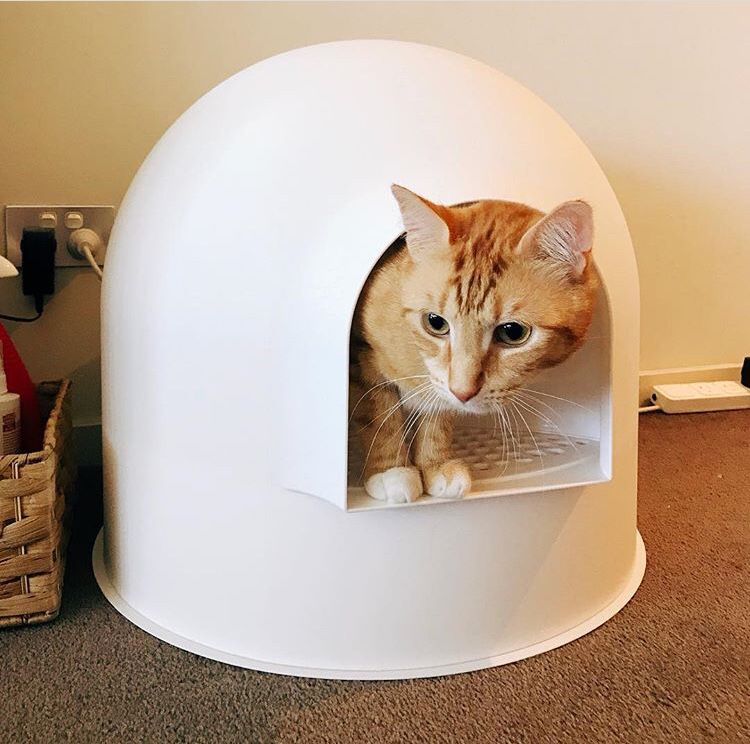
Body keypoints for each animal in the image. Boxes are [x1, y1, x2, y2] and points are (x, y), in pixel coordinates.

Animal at [349, 185, 598, 504]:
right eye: (435, 322)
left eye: (513, 332)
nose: (464, 392)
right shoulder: (362, 356)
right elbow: (379, 415)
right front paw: (391, 469)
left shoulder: (441, 388)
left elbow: (437, 415)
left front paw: (435, 463)